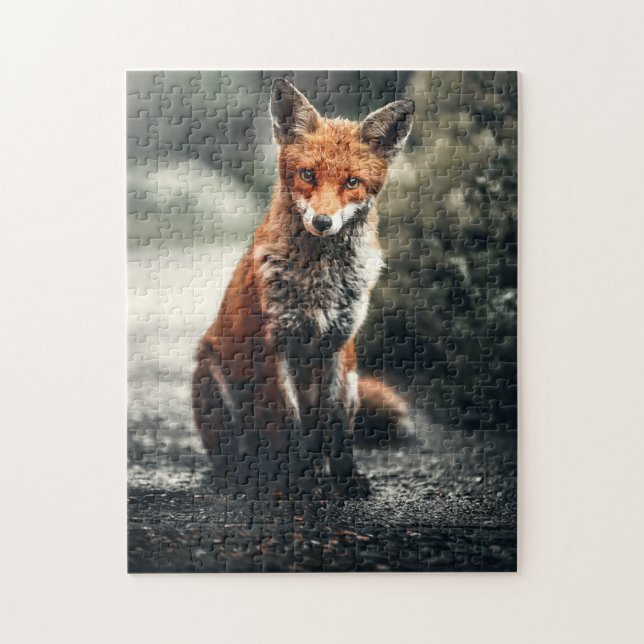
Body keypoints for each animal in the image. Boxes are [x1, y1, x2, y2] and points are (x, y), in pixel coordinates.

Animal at [192, 78, 415, 495]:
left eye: (352, 182)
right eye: (308, 175)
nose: (323, 222)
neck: (320, 282)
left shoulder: (338, 347)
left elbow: (335, 428)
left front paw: (344, 478)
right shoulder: (273, 346)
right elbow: (287, 424)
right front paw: (302, 484)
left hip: (354, 380)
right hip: (211, 379)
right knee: (233, 455)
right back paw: (245, 477)